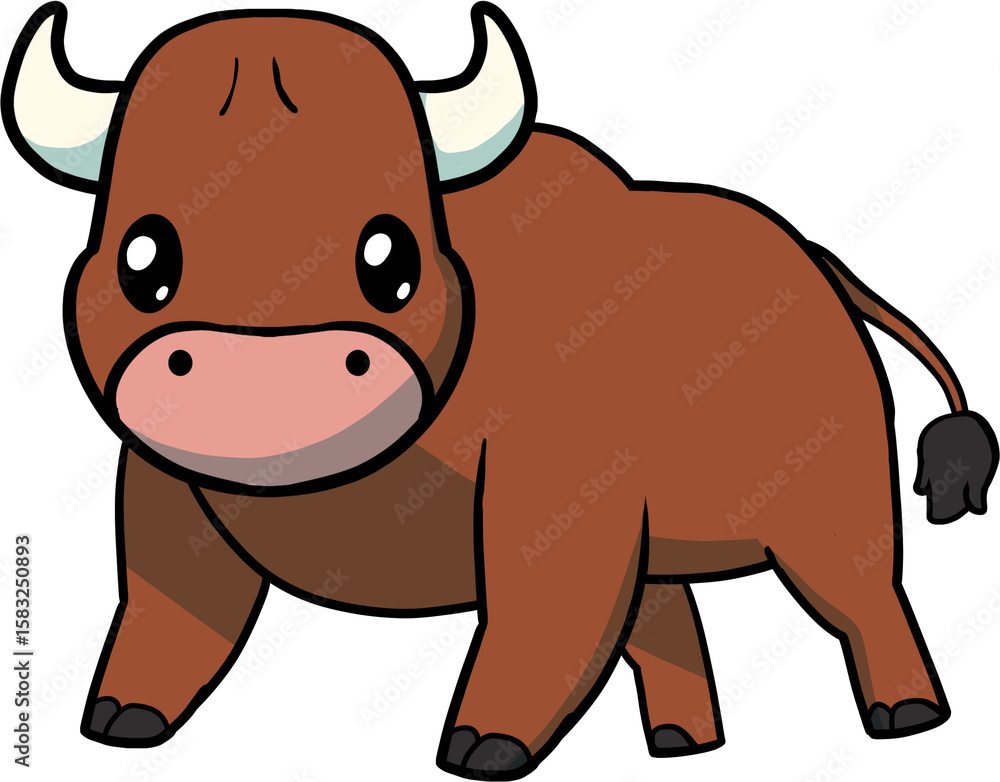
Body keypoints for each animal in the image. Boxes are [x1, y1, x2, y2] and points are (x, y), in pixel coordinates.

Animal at [3, 3, 997, 778]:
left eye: (388, 257)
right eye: (143, 259)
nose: (264, 379)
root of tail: (817, 260)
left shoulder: (559, 504)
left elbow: (537, 621)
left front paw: (483, 745)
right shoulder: (164, 489)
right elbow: (171, 612)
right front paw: (120, 721)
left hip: (831, 518)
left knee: (869, 605)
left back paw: (908, 716)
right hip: (670, 553)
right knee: (667, 624)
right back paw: (682, 742)